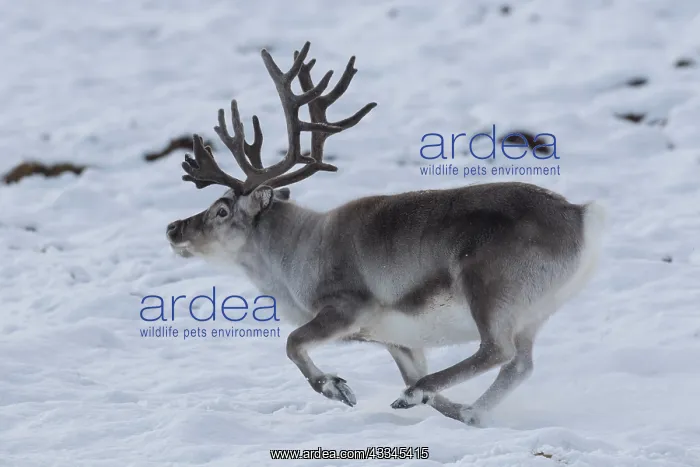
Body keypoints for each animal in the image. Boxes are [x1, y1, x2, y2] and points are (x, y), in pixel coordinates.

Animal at [165, 41, 606, 426]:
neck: (293, 258)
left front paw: (337, 387)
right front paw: (441, 406)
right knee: (520, 364)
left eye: (221, 210)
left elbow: (291, 342)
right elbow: (415, 376)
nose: (173, 228)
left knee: (497, 350)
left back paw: (427, 397)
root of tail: (580, 215)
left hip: (488, 288)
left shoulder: (346, 307)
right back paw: (469, 412)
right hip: (534, 312)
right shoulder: (397, 339)